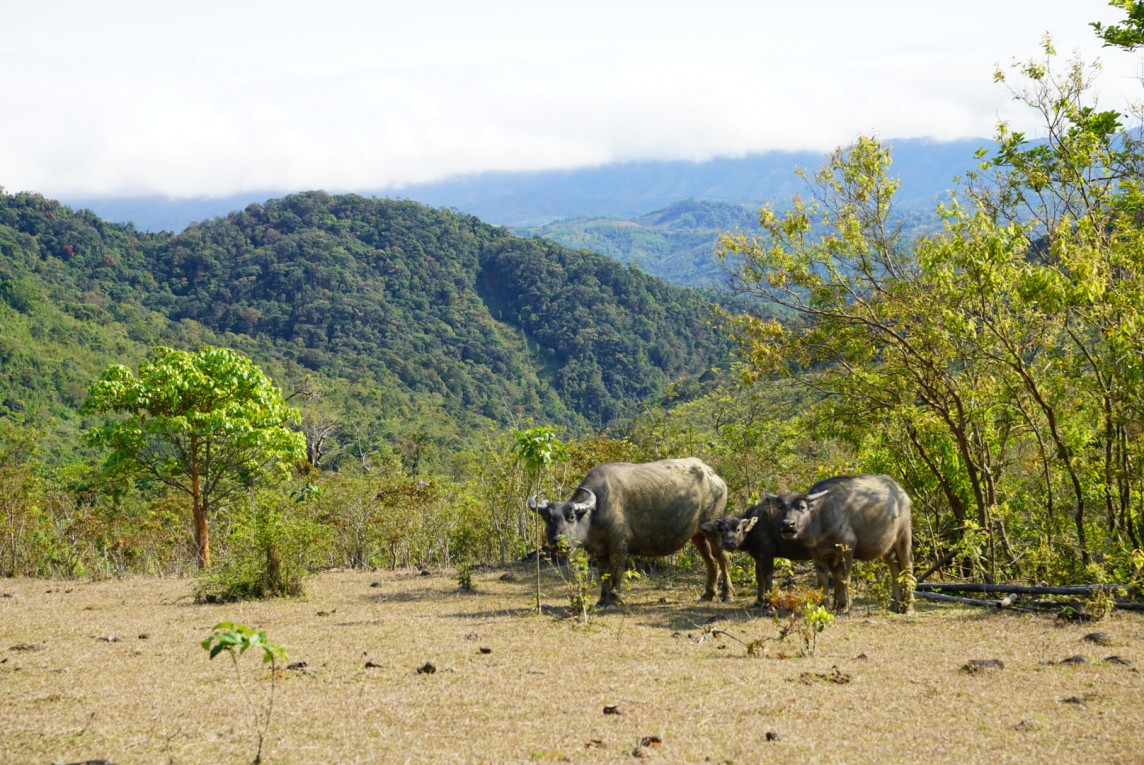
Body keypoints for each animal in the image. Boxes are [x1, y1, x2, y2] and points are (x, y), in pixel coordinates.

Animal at [528, 457, 732, 603]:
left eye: (571, 517)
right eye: (549, 518)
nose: (558, 541)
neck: (595, 511)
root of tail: (714, 477)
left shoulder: (619, 544)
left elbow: (616, 570)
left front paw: (615, 599)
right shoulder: (598, 550)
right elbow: (603, 573)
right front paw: (602, 599)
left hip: (714, 529)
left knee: (722, 558)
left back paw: (727, 594)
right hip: (697, 534)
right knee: (710, 560)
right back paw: (708, 594)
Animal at [690, 503, 828, 603]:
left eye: (738, 529)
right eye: (723, 529)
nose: (729, 543)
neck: (755, 528)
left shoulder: (767, 555)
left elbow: (768, 577)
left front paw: (768, 600)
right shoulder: (758, 557)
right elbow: (759, 577)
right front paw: (759, 600)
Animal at [764, 471, 915, 612]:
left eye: (802, 507)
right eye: (780, 507)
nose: (787, 524)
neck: (820, 518)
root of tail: (901, 492)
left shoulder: (846, 548)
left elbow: (842, 577)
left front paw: (844, 606)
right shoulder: (817, 555)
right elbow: (823, 580)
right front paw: (824, 605)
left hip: (904, 535)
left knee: (907, 565)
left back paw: (908, 607)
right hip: (887, 545)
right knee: (894, 567)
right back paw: (894, 605)